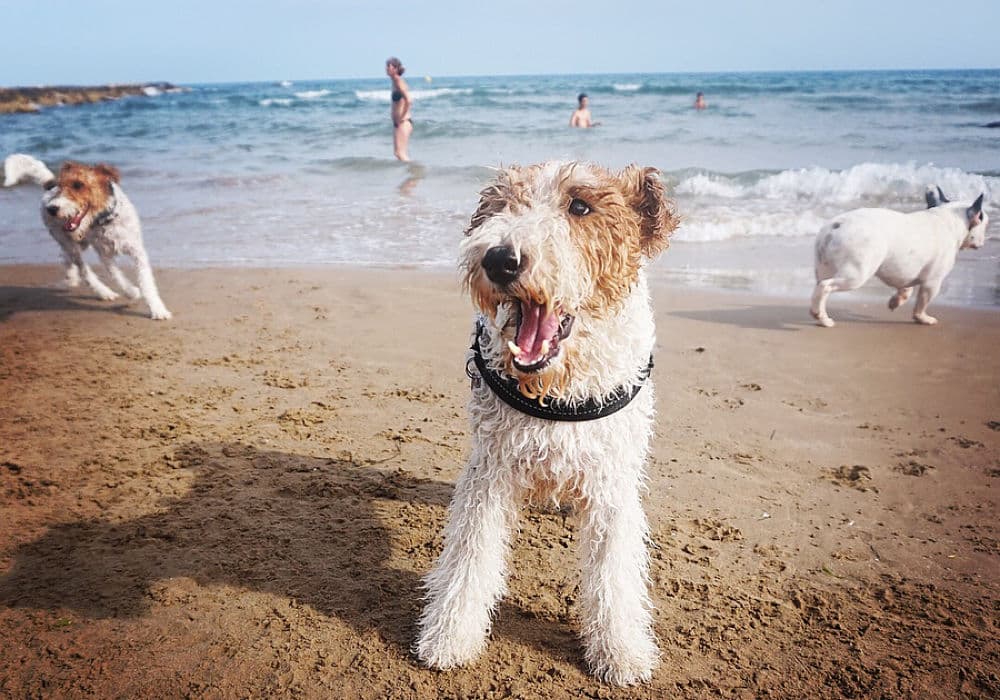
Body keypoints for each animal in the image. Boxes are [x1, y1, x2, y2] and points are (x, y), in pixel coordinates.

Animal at [3, 154, 172, 322]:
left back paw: (71, 277)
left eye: (78, 185)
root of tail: (48, 188)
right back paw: (104, 292)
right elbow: (117, 275)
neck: (105, 221)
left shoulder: (137, 252)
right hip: (69, 242)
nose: (52, 209)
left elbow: (146, 282)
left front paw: (158, 310)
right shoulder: (104, 255)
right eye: (61, 186)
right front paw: (132, 291)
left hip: (81, 241)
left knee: (65, 257)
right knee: (83, 270)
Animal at [414, 161, 680, 688]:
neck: (559, 390)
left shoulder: (612, 485)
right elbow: (469, 559)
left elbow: (615, 576)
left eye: (580, 205)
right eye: (500, 205)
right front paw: (449, 638)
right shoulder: (489, 474)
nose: (500, 259)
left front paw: (621, 652)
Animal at [808, 186, 988, 328]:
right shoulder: (933, 282)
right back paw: (822, 317)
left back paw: (820, 315)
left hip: (824, 266)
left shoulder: (905, 272)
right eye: (985, 223)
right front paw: (922, 318)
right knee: (825, 286)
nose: (983, 240)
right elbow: (922, 302)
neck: (949, 219)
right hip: (857, 274)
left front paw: (896, 301)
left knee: (819, 288)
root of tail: (836, 225)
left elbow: (906, 289)